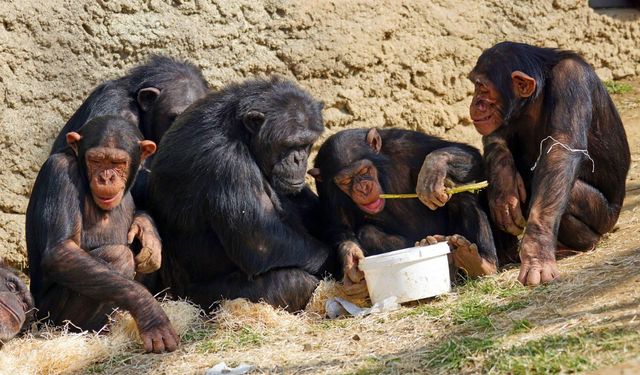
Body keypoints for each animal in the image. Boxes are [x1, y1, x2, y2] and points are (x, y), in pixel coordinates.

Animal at [26, 116, 179, 354]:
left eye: (118, 162)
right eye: (96, 160)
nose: (106, 178)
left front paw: (147, 230)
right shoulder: (58, 172)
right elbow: (61, 251)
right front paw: (149, 311)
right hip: (49, 317)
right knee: (119, 255)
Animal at [148, 75, 338, 312]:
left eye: (306, 143)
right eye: (288, 144)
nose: (299, 159)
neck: (243, 135)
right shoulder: (227, 162)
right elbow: (261, 240)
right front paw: (336, 260)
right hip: (202, 299)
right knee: (294, 281)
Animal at [310, 129, 500, 296]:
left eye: (364, 171)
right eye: (346, 181)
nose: (362, 187)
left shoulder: (405, 143)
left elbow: (469, 154)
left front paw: (434, 167)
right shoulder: (325, 187)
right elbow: (339, 227)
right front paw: (351, 260)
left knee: (460, 195)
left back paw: (480, 262)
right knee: (368, 233)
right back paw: (432, 246)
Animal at [464, 41, 632, 286]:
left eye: (482, 88)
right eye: (476, 86)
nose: (476, 103)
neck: (536, 97)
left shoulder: (571, 79)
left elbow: (561, 150)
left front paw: (537, 254)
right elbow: (496, 134)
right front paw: (504, 186)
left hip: (606, 218)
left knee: (563, 193)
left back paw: (581, 244)